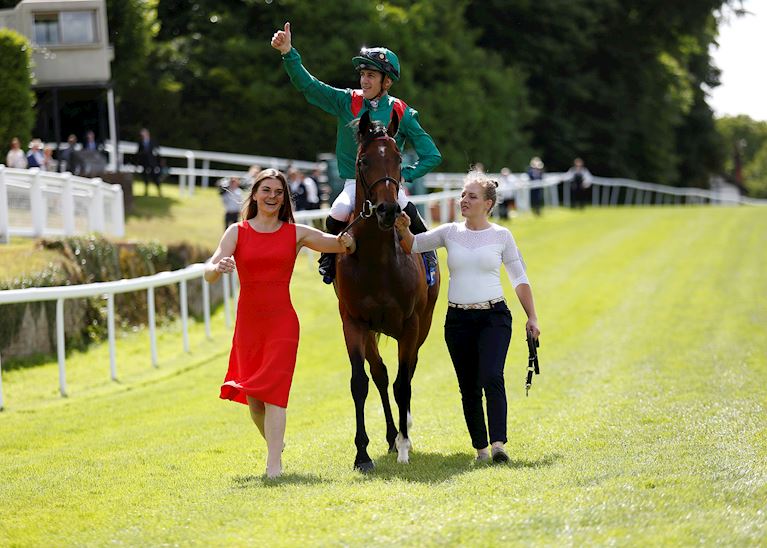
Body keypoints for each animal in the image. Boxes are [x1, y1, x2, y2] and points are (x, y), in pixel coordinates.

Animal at [332, 108, 440, 470]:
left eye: (398, 159)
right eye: (364, 160)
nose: (388, 210)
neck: (378, 261)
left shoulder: (411, 324)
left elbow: (403, 384)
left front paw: (405, 441)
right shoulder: (354, 322)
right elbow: (361, 382)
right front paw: (362, 454)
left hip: (423, 325)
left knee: (406, 374)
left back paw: (403, 432)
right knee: (379, 374)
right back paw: (392, 436)